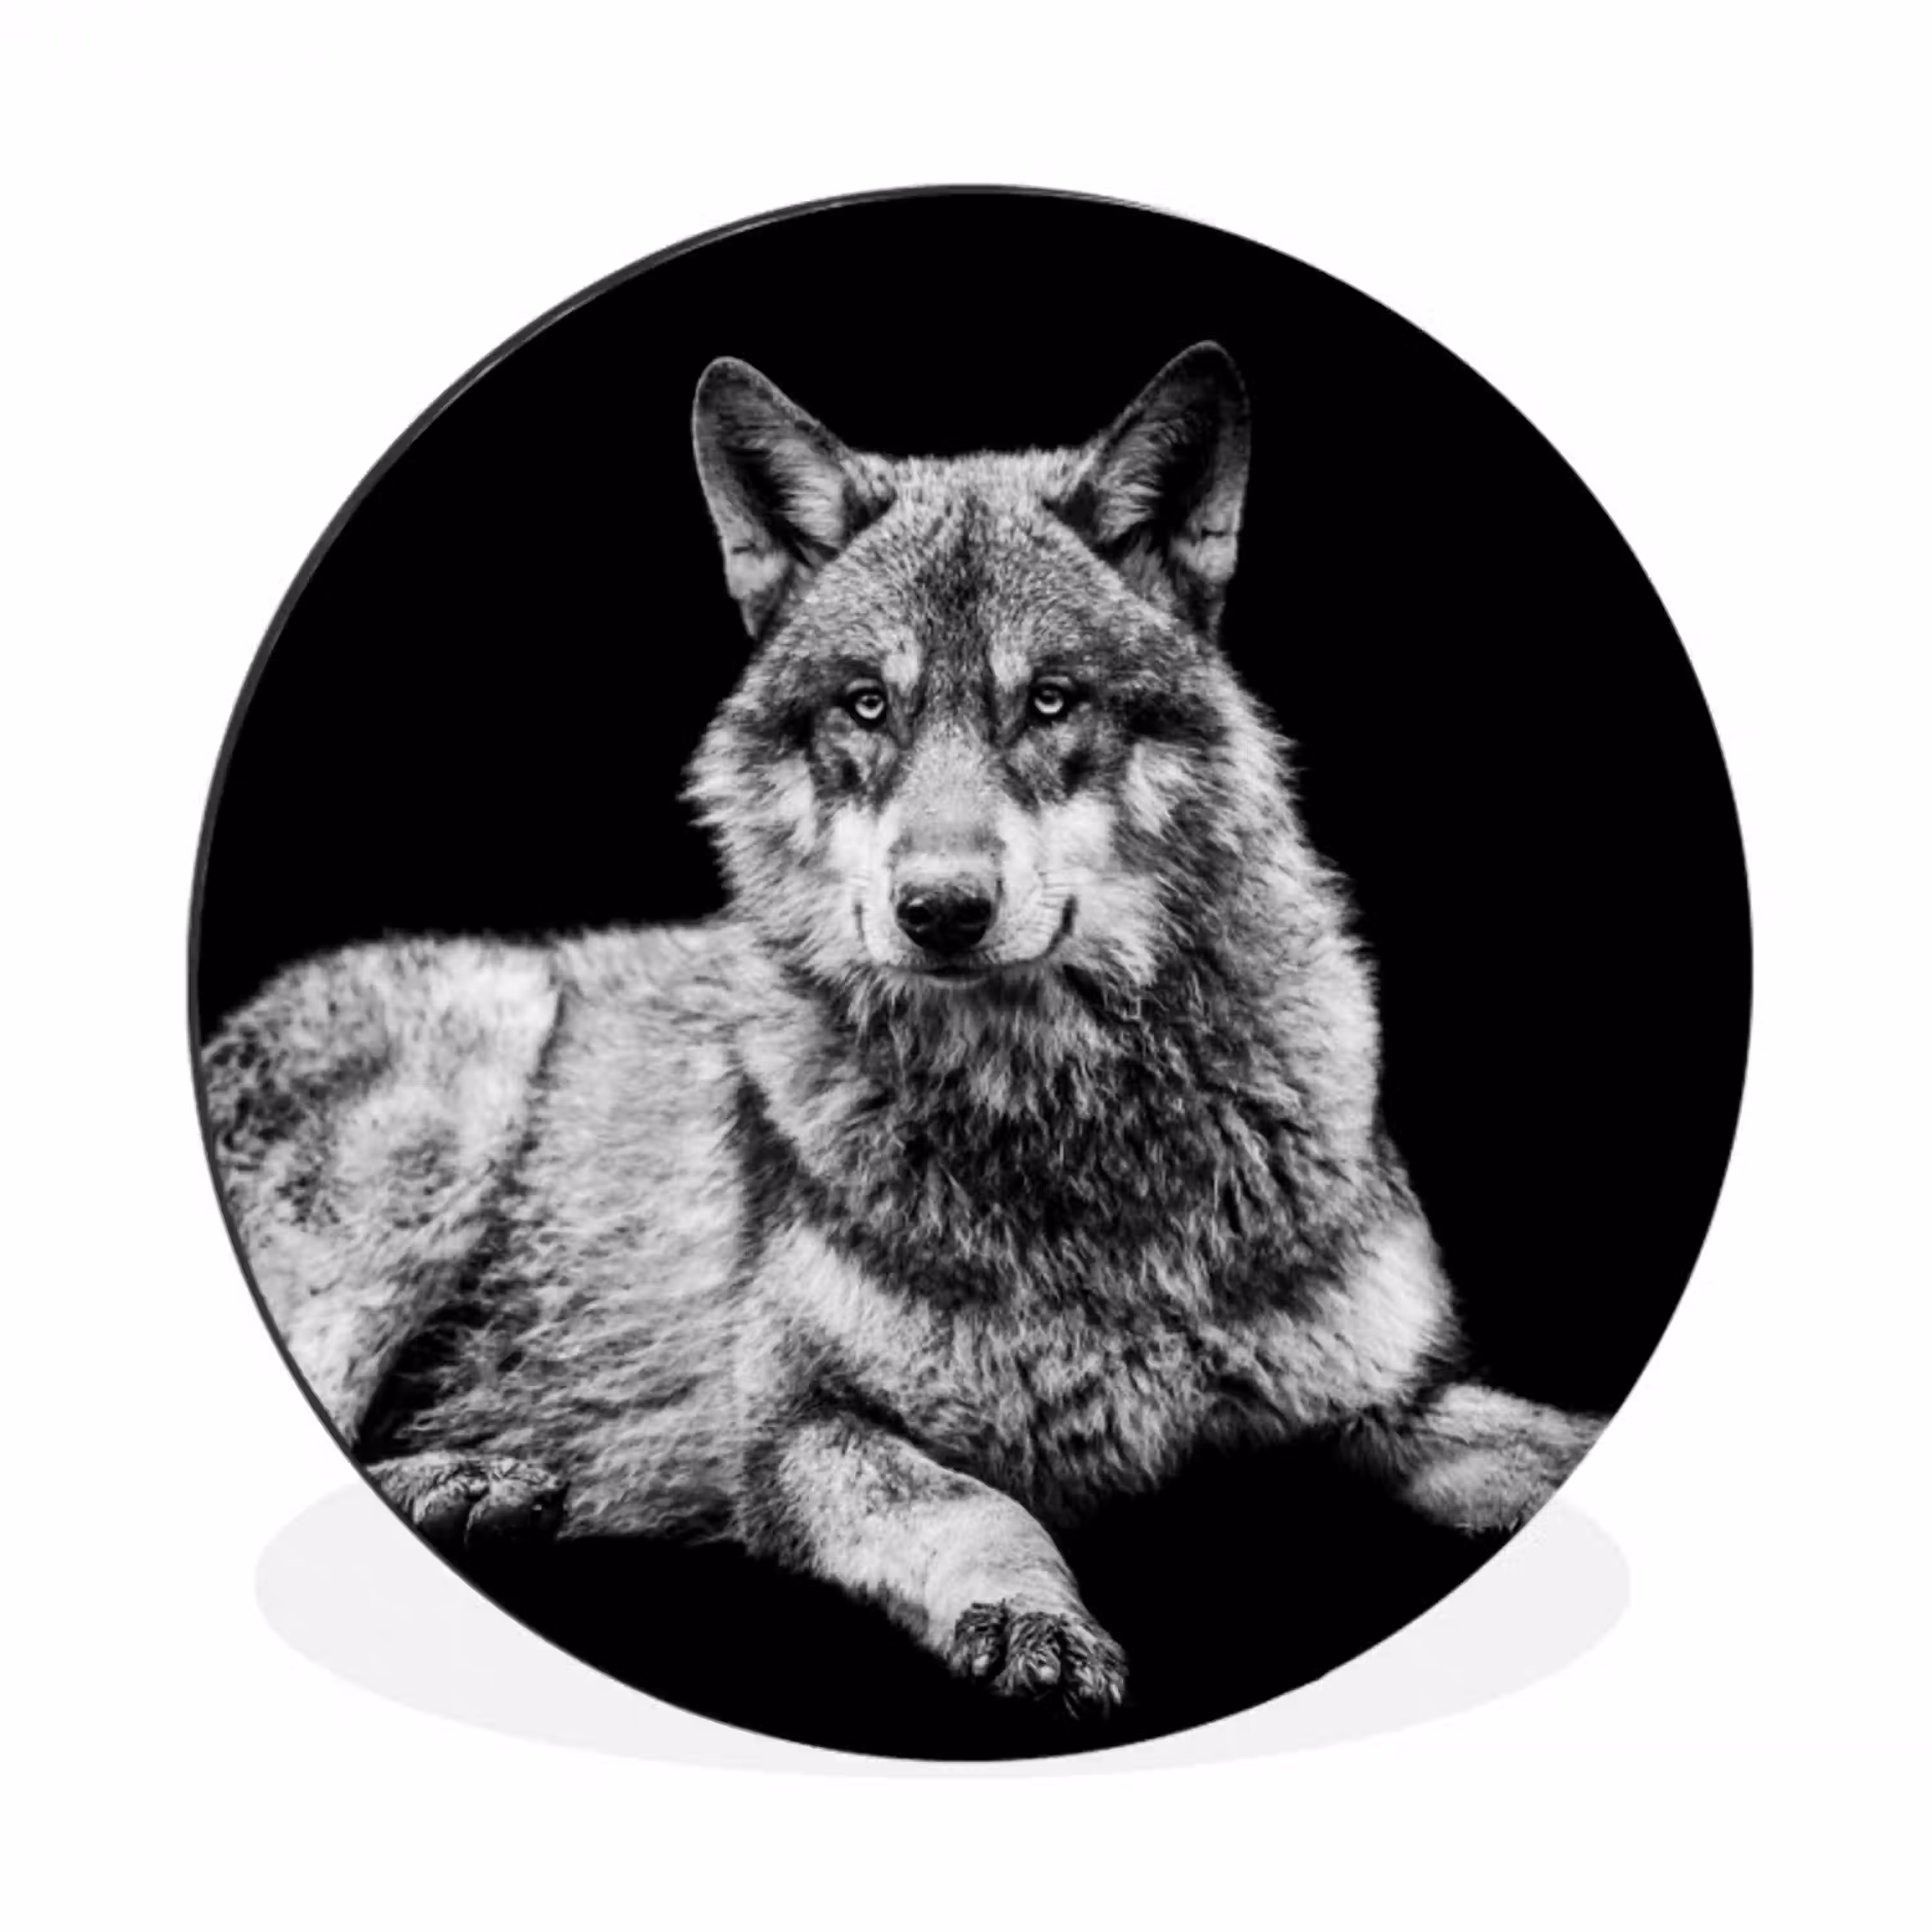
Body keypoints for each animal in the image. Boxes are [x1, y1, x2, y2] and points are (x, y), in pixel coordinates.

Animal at [202, 343, 1603, 1717]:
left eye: (1050, 702)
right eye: (869, 707)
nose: (940, 910)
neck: (1065, 1128)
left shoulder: (1392, 1403)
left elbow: (1549, 1446)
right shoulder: (800, 1429)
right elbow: (981, 1509)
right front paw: (1034, 1622)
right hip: (461, 1084)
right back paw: (467, 1483)